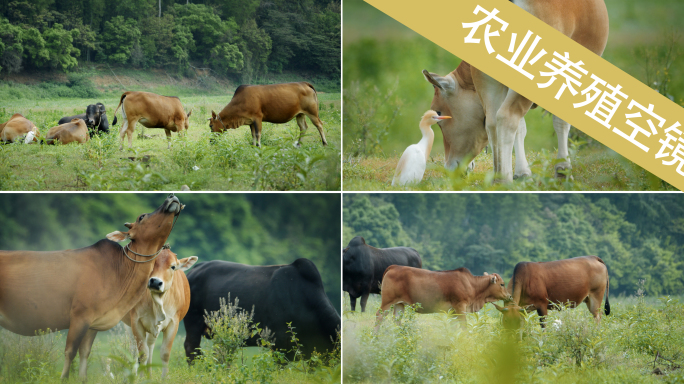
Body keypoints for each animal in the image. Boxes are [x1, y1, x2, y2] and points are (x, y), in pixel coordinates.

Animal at [0, 194, 184, 380]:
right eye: (141, 217)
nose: (171, 196)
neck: (120, 271)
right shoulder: (79, 316)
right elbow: (70, 351)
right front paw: (64, 378)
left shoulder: (93, 323)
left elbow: (85, 353)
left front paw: (82, 378)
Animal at [122, 249, 198, 378]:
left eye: (173, 266)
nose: (155, 282)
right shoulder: (136, 321)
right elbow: (143, 353)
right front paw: (141, 378)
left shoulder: (173, 323)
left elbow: (165, 353)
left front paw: (164, 378)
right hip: (128, 325)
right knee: (133, 350)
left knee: (150, 345)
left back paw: (149, 374)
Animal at [374, 264, 512, 330]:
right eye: (502, 284)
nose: (509, 296)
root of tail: (394, 267)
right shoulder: (460, 306)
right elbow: (464, 326)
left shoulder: (452, 311)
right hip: (387, 301)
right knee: (379, 316)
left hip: (399, 304)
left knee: (397, 320)